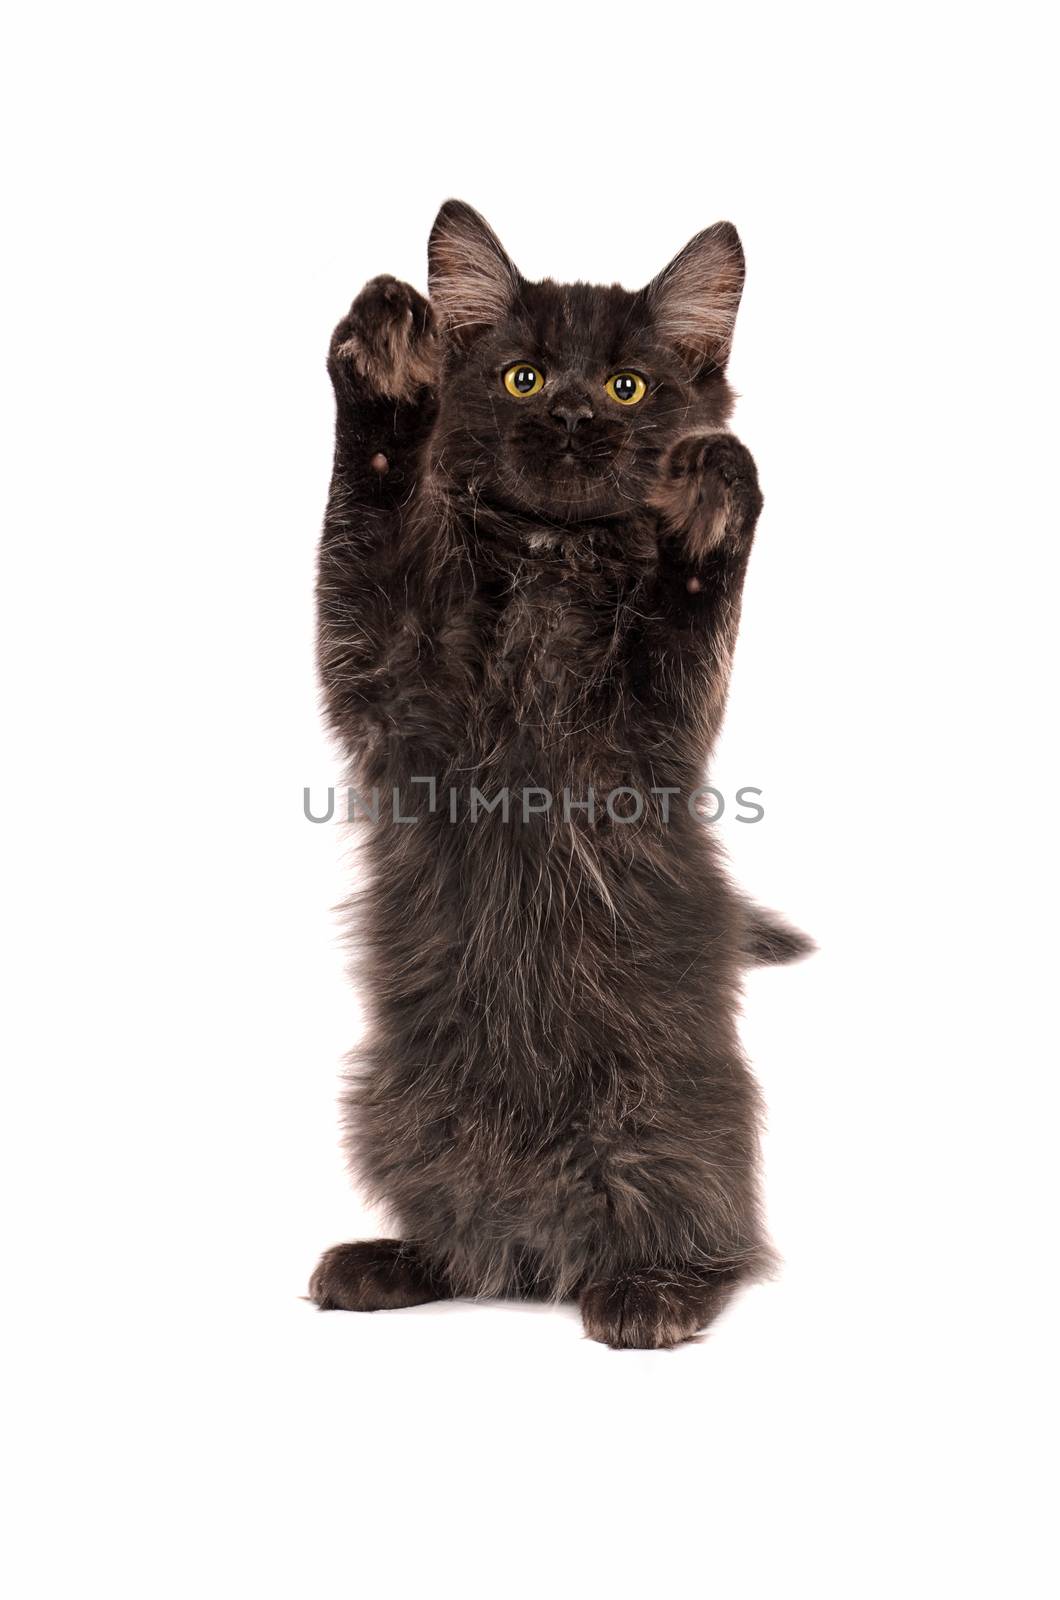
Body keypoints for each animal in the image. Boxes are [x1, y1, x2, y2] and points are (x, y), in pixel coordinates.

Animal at [312, 203, 810, 1350]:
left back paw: (653, 1290)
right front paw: (387, 368)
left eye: (627, 385)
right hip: (395, 1108)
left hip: (677, 1117)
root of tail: (542, 1256)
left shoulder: (651, 743)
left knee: (722, 1235)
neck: (552, 555)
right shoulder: (387, 682)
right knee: (467, 1239)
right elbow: (364, 512)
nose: (577, 412)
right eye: (523, 378)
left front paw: (708, 504)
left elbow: (687, 611)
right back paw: (400, 1260)